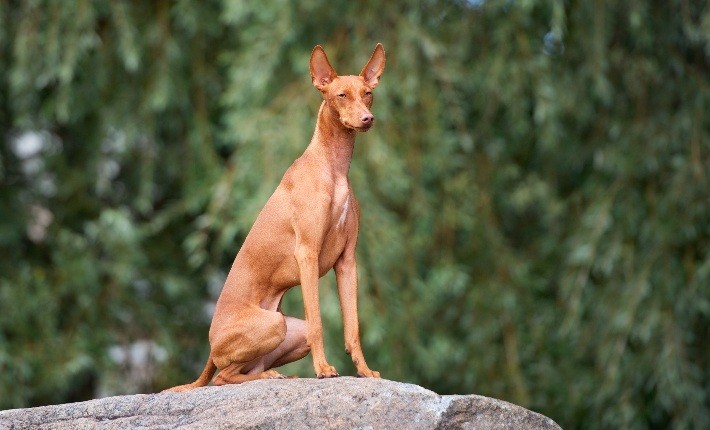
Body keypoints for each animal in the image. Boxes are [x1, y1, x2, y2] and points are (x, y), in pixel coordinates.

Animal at [165, 44, 386, 394]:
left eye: (368, 94)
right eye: (340, 95)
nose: (367, 119)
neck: (333, 168)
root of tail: (211, 349)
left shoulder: (348, 262)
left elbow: (353, 328)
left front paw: (364, 371)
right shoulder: (307, 253)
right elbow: (319, 323)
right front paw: (323, 370)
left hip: (287, 330)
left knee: (243, 370)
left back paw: (274, 375)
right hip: (273, 323)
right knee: (222, 378)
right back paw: (268, 376)